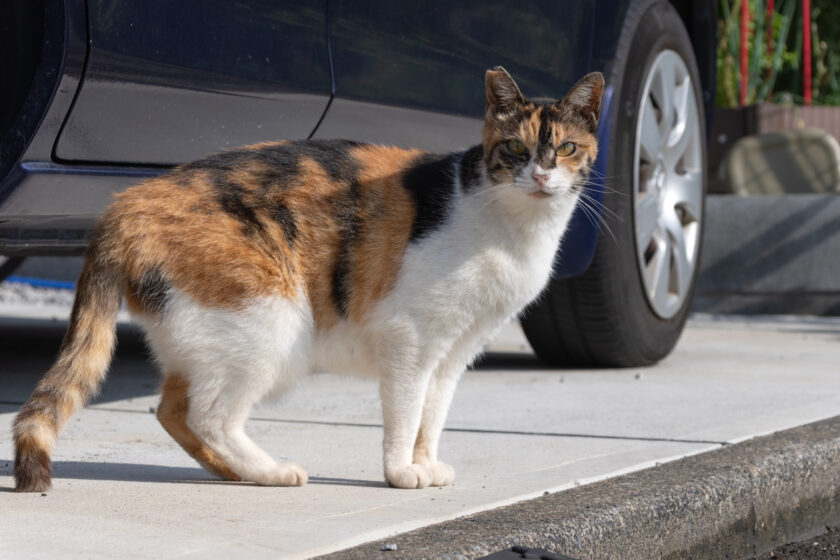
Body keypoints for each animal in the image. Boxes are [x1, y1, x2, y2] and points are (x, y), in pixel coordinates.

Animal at [14, 68, 604, 492]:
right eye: (516, 149)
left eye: (567, 148)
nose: (541, 175)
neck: (512, 228)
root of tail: (126, 204)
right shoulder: (411, 338)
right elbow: (406, 411)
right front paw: (400, 473)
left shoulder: (455, 351)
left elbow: (432, 417)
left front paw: (426, 464)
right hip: (271, 319)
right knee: (211, 415)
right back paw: (272, 472)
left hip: (207, 332)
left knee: (173, 409)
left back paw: (239, 473)